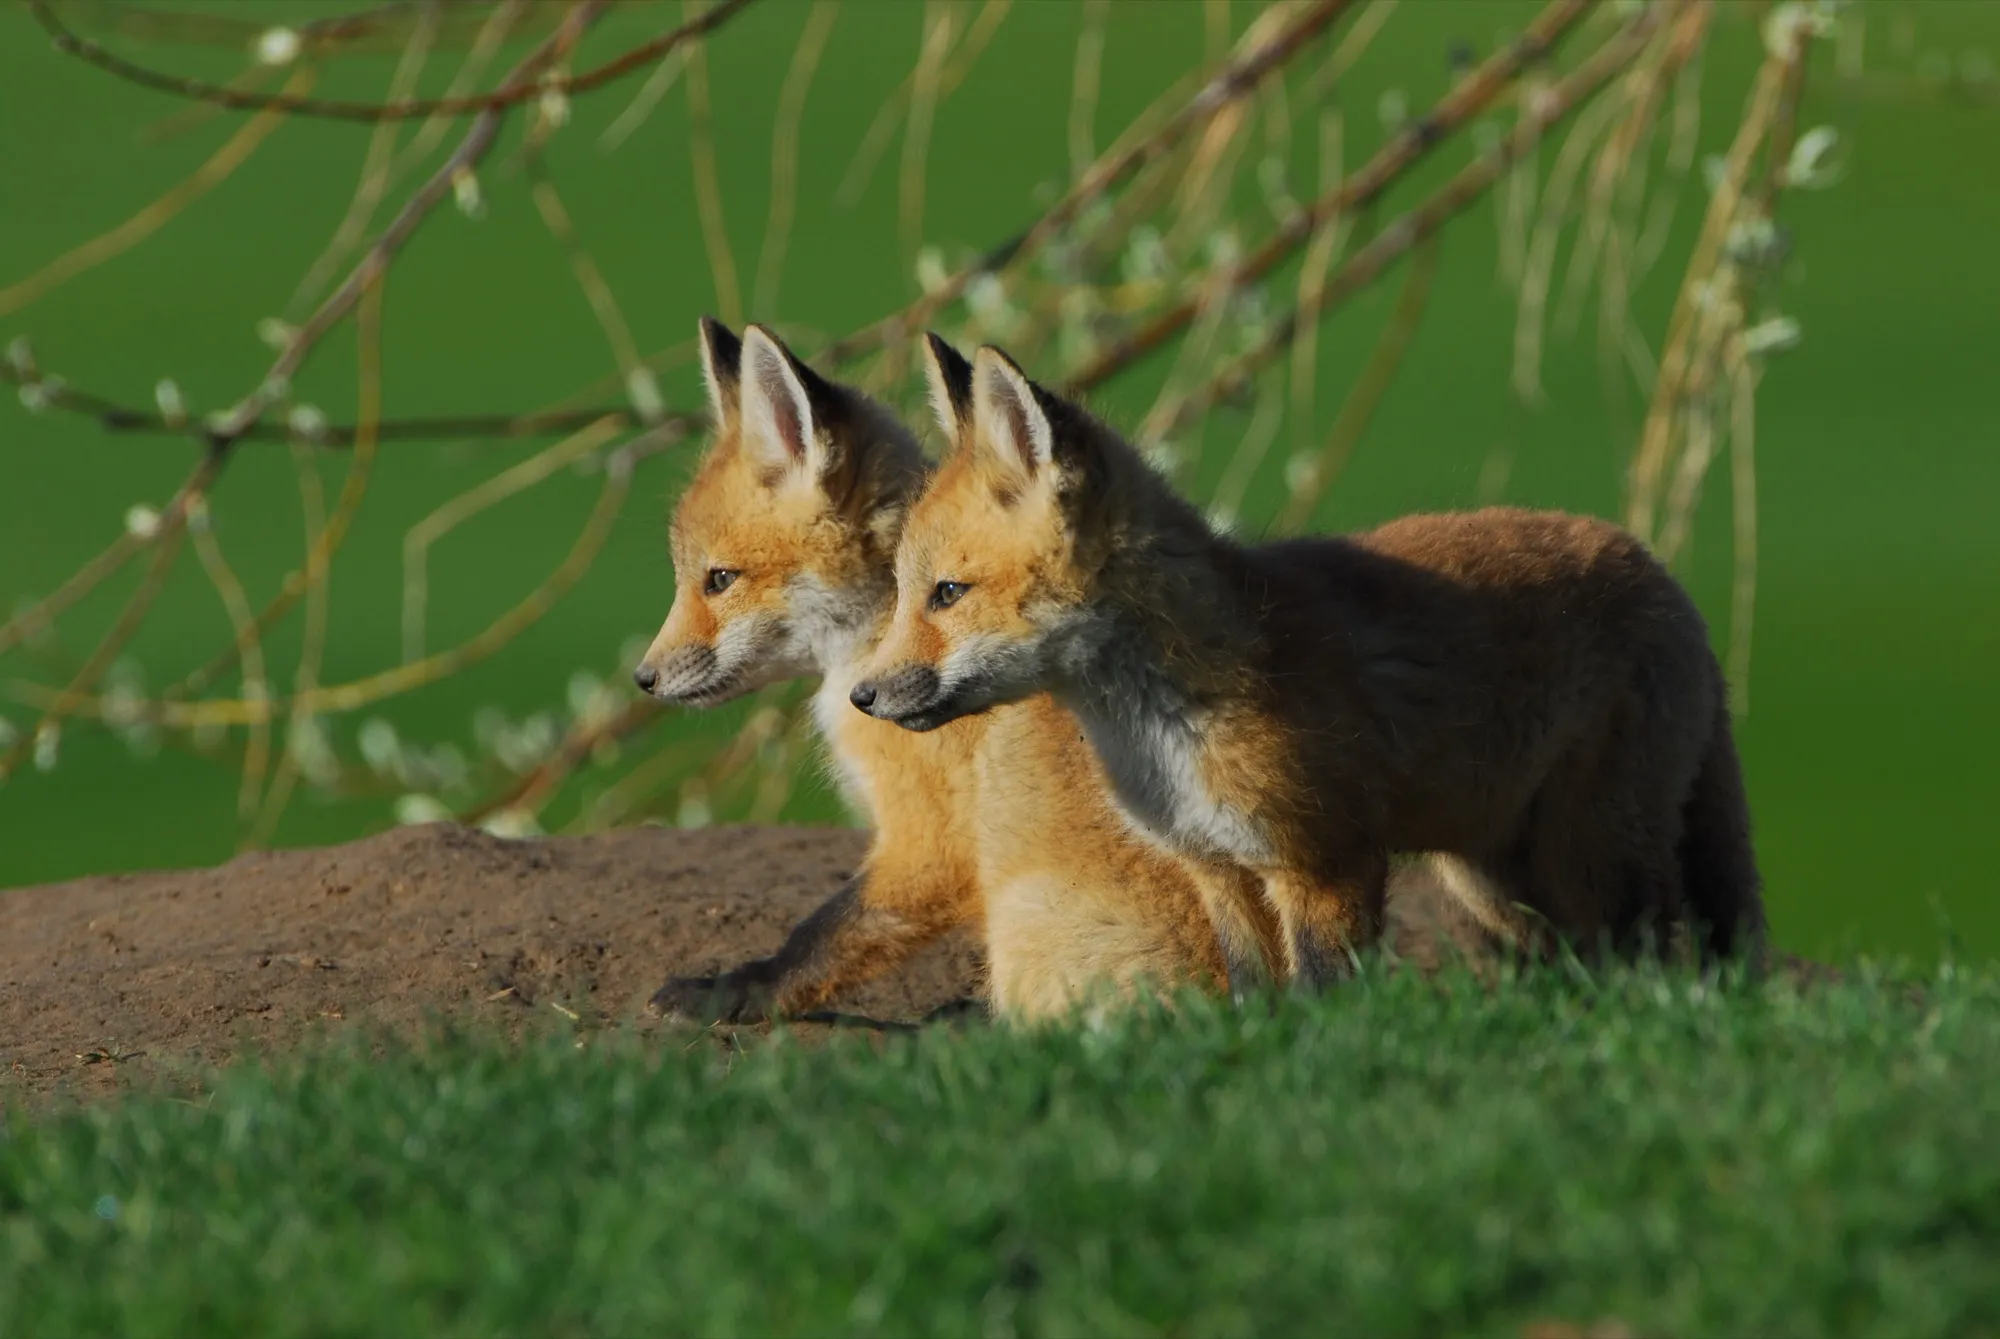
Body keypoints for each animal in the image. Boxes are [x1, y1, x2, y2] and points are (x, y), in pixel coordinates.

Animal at [633, 319, 1478, 1022]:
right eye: (688, 578)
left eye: (718, 580)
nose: (643, 679)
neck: (875, 639)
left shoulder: (933, 841)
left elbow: (824, 932)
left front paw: (739, 993)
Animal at [851, 340, 1768, 995]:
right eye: (904, 591)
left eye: (947, 593)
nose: (860, 695)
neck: (1162, 734)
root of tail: (1658, 569)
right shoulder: (1219, 868)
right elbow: (1258, 998)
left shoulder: (1324, 862)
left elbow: (1325, 999)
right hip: (1497, 876)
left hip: (1592, 849)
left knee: (1652, 954)